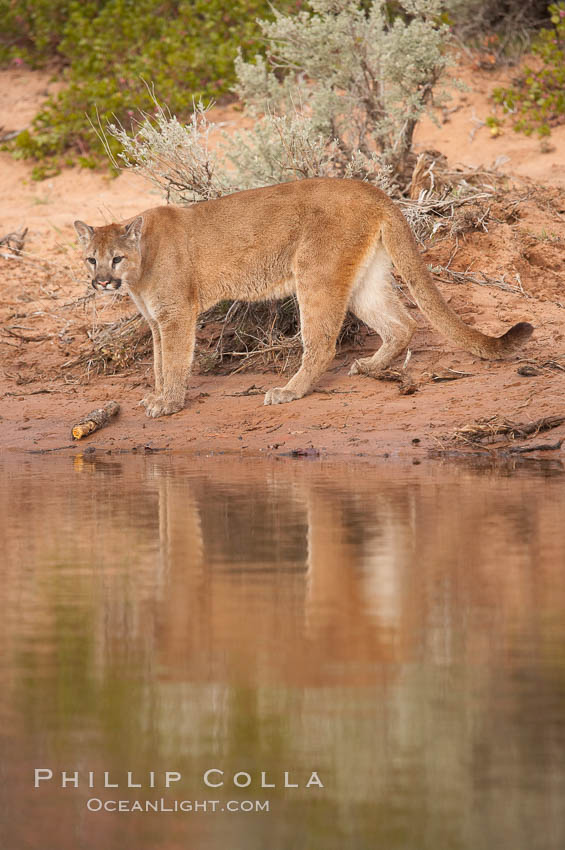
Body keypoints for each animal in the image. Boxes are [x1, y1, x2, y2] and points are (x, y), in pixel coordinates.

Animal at [74, 179, 528, 418]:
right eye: (92, 259)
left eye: (116, 258)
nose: (101, 282)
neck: (140, 268)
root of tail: (370, 187)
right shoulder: (156, 321)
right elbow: (157, 362)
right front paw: (156, 396)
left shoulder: (176, 315)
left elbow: (172, 361)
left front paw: (168, 403)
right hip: (364, 281)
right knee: (403, 323)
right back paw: (370, 366)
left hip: (316, 275)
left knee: (323, 343)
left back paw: (290, 391)